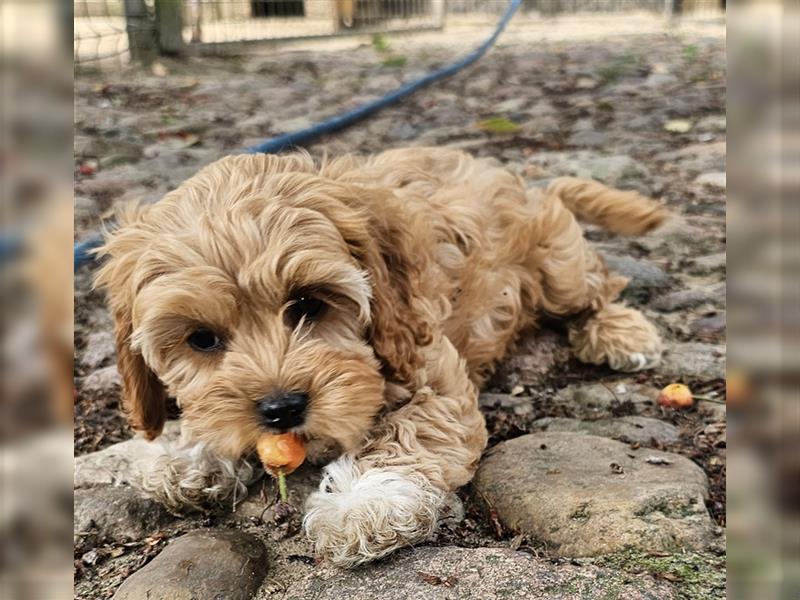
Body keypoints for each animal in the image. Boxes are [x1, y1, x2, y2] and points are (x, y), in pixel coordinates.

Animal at [97, 146, 664, 568]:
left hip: (558, 267)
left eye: (307, 304)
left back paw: (621, 331)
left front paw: (364, 502)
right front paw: (186, 453)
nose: (281, 409)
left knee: (599, 285)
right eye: (202, 339)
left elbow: (410, 433)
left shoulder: (428, 365)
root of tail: (527, 184)